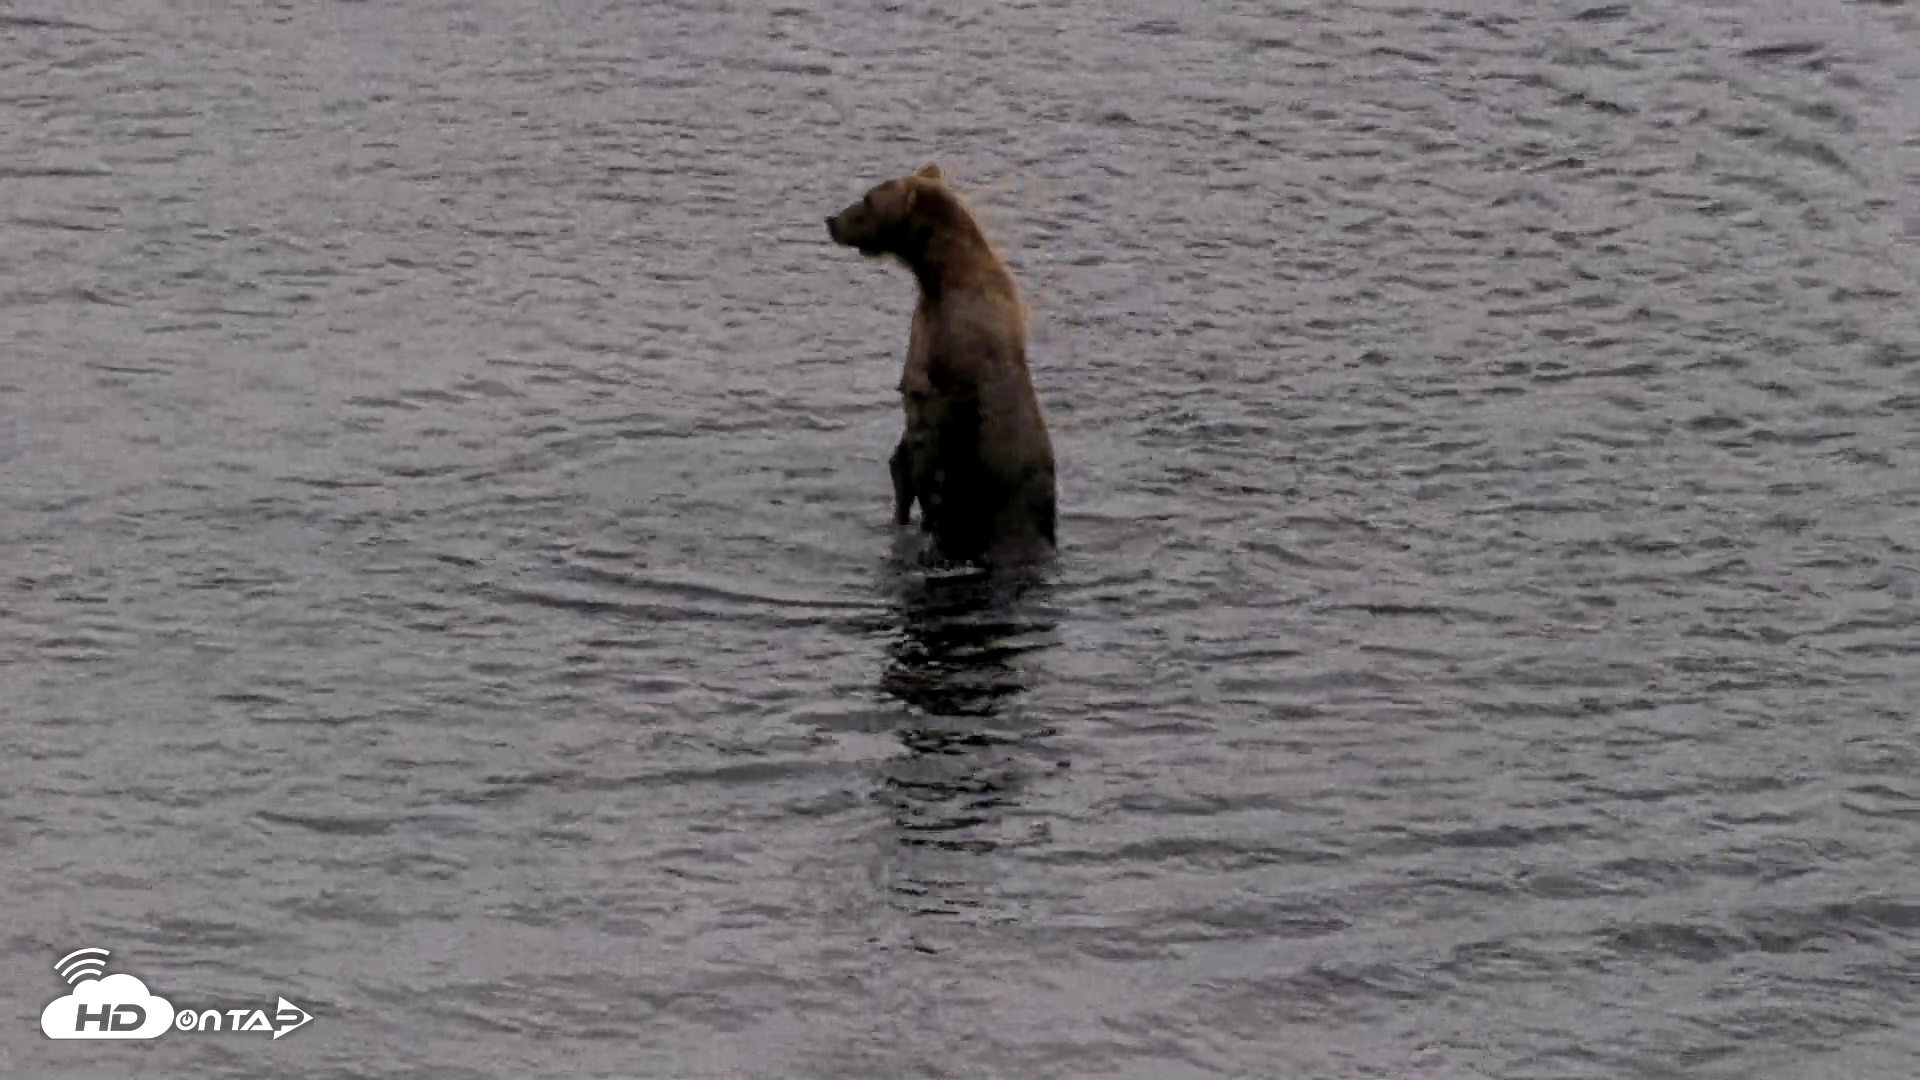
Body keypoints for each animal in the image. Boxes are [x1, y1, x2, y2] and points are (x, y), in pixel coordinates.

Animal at [826, 163, 1057, 567]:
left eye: (868, 199)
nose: (832, 220)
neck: (938, 278)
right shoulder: (924, 327)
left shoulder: (955, 353)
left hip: (999, 502)